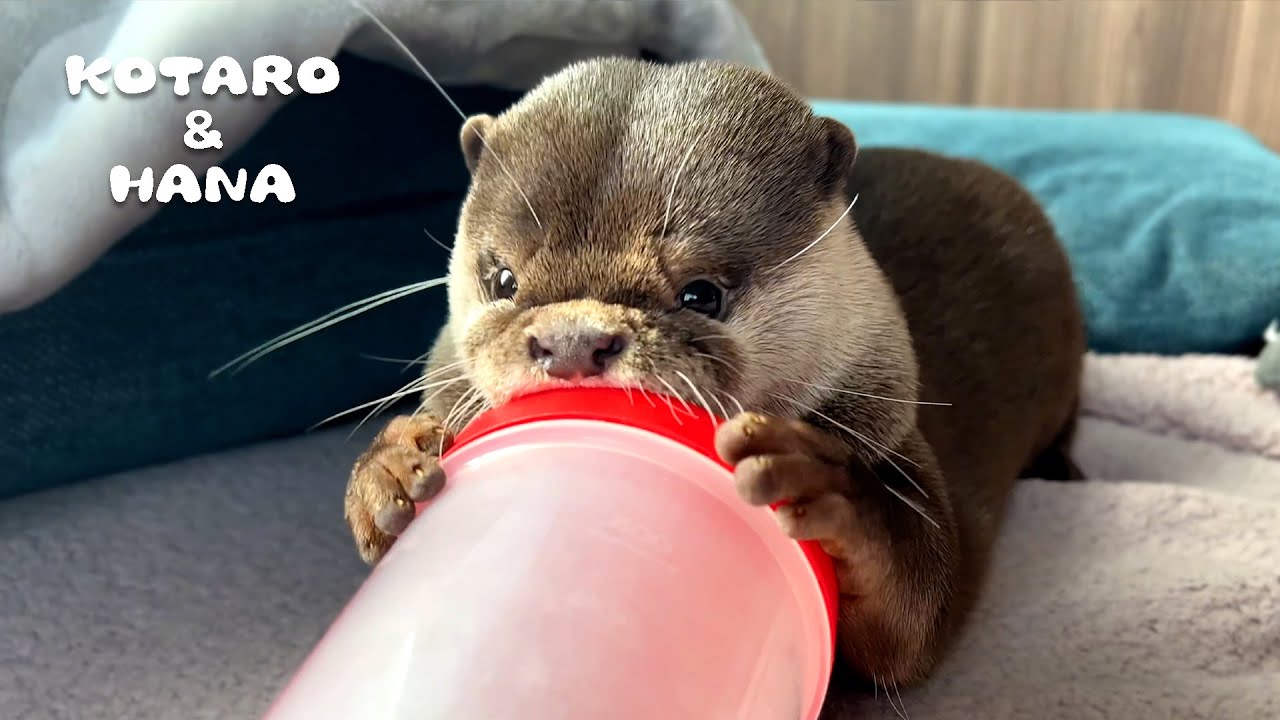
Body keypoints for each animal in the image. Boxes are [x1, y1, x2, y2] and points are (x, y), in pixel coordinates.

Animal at [342, 57, 1086, 694]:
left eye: (701, 294)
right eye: (503, 280)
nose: (572, 342)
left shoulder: (896, 434)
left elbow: (914, 617)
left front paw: (818, 481)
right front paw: (391, 466)